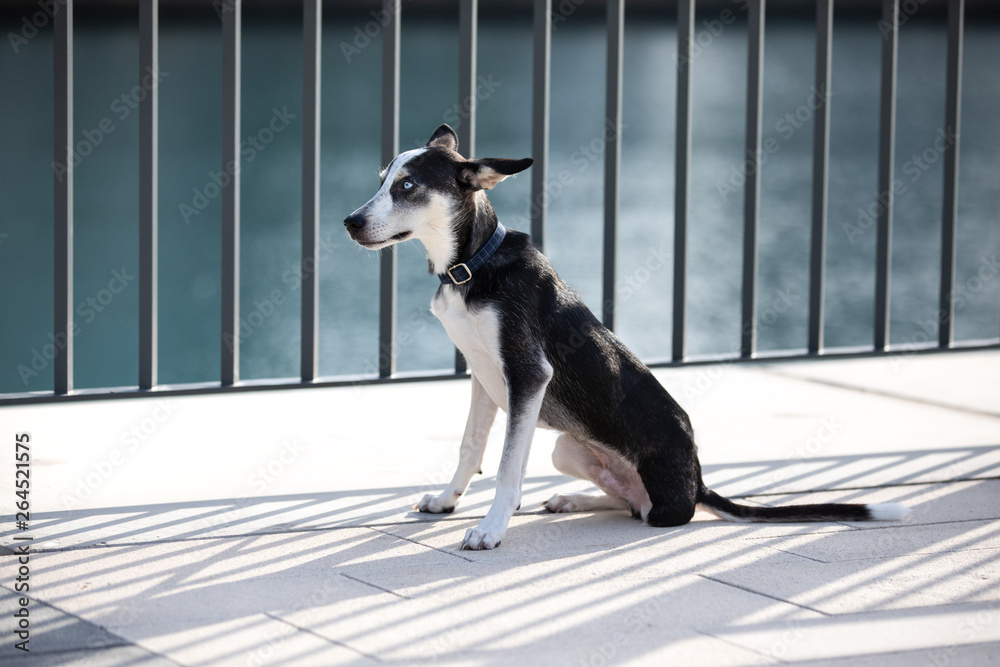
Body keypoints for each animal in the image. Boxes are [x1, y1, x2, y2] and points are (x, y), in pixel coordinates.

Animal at [348, 124, 912, 548]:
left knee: (650, 513)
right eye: (382, 180)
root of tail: (698, 481)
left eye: (407, 187)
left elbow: (508, 467)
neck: (472, 265)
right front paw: (447, 500)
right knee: (624, 501)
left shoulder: (527, 376)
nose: (350, 222)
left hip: (656, 500)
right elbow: (471, 446)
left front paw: (490, 529)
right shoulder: (485, 378)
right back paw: (572, 499)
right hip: (567, 449)